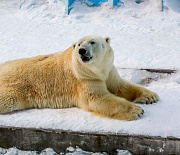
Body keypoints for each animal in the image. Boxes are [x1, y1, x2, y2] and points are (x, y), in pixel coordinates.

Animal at [0, 35, 159, 121]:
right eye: (78, 44)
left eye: (92, 42)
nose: (82, 50)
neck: (97, 70)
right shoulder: (84, 78)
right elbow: (97, 98)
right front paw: (136, 111)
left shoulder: (109, 71)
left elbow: (121, 85)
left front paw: (151, 96)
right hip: (15, 90)